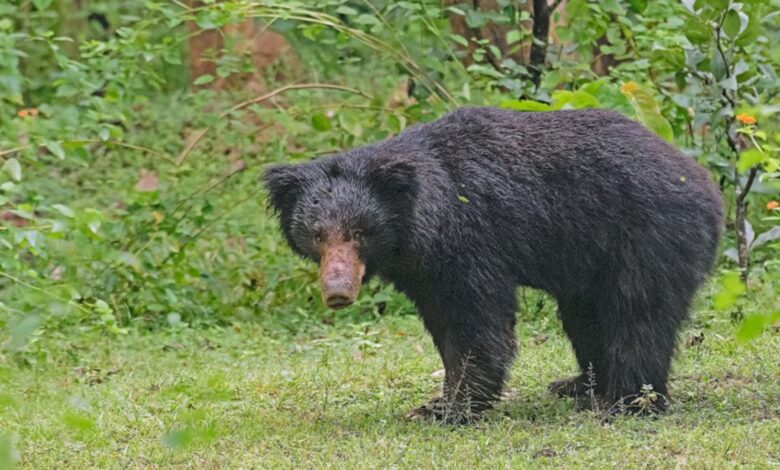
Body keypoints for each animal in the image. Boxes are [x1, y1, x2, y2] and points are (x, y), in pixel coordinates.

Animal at [263, 107, 723, 424]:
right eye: (318, 235)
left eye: (360, 233)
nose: (337, 292)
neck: (422, 223)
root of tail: (705, 184)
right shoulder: (424, 269)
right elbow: (445, 322)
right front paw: (440, 401)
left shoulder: (471, 240)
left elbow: (475, 321)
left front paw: (447, 409)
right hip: (594, 262)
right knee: (586, 317)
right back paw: (578, 385)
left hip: (648, 237)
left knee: (637, 315)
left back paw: (629, 403)